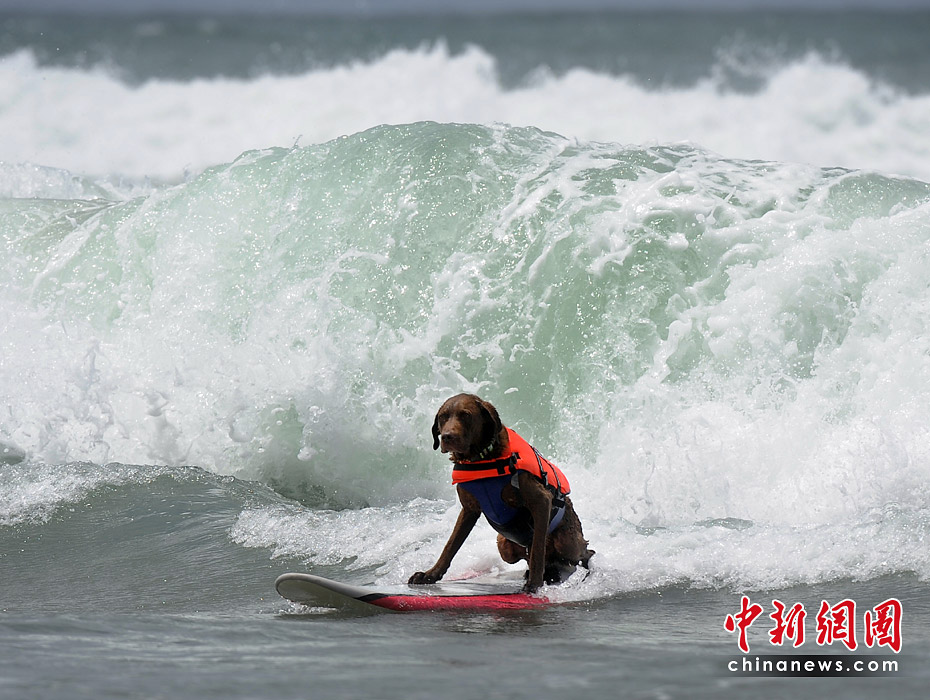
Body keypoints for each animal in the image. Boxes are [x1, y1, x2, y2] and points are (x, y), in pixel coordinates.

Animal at [408, 394, 596, 592]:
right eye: (443, 417)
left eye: (465, 415)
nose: (447, 437)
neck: (481, 459)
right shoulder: (469, 510)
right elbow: (450, 546)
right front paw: (430, 574)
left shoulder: (541, 500)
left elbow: (537, 550)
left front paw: (534, 584)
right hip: (503, 544)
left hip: (566, 541)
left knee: (580, 554)